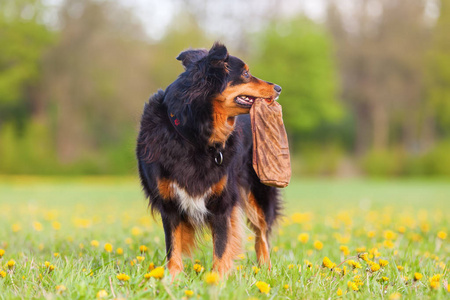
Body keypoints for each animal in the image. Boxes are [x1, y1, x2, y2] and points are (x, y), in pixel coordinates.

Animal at [137, 41, 284, 276]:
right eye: (245, 73)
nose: (278, 88)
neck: (194, 136)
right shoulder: (169, 203)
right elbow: (173, 246)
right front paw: (172, 277)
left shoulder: (222, 202)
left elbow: (222, 246)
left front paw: (218, 279)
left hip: (258, 194)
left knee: (262, 234)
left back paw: (266, 270)